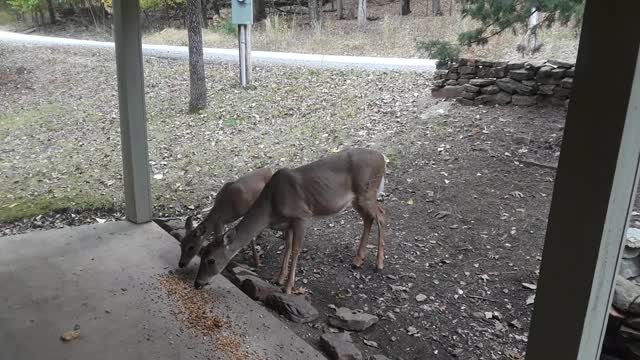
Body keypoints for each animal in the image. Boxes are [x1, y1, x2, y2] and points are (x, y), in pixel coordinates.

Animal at [194, 148, 384, 294]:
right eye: (201, 253)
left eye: (210, 260)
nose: (197, 283)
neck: (271, 207)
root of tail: (382, 158)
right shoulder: (288, 223)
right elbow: (286, 246)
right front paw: (279, 278)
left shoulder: (302, 216)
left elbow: (295, 249)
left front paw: (288, 287)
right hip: (357, 199)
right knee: (369, 218)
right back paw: (358, 259)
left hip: (367, 192)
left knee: (382, 215)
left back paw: (379, 263)